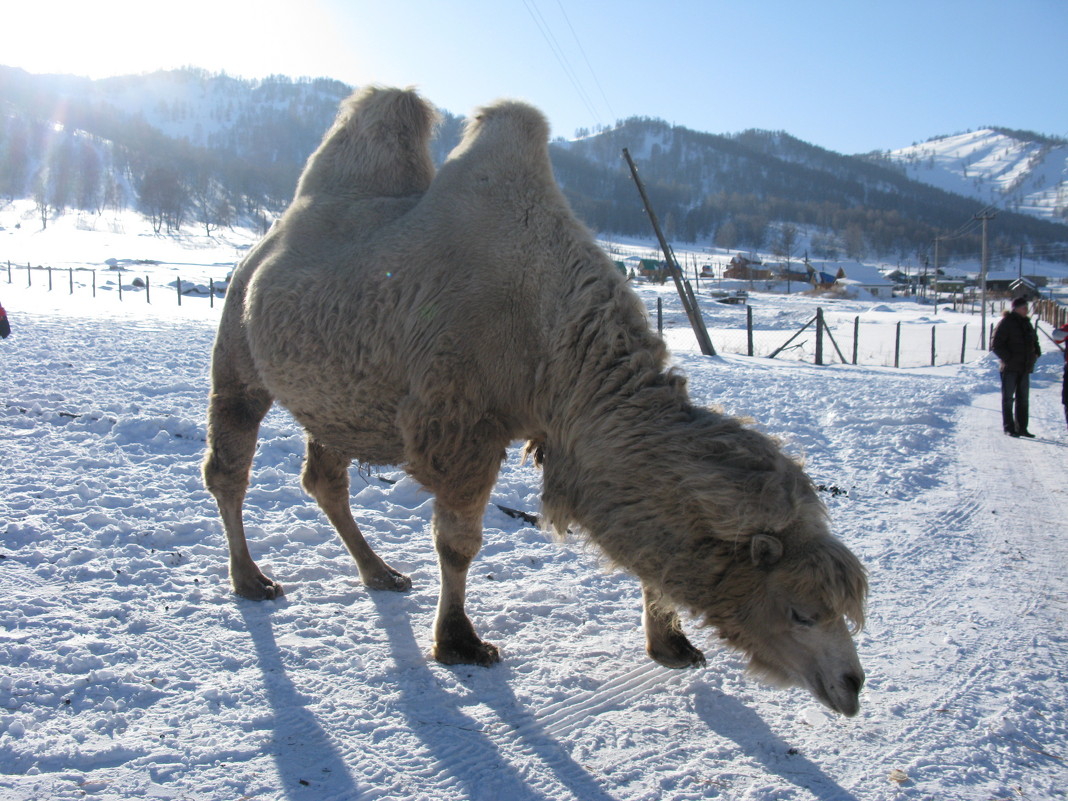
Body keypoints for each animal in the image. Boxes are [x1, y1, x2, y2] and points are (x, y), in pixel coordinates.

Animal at [201, 89, 867, 721]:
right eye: (801, 611)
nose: (852, 686)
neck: (551, 334)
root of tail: (263, 244)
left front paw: (670, 643)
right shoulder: (464, 425)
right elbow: (459, 543)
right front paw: (460, 643)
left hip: (336, 395)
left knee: (324, 477)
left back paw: (380, 572)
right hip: (237, 341)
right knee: (230, 465)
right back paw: (251, 579)